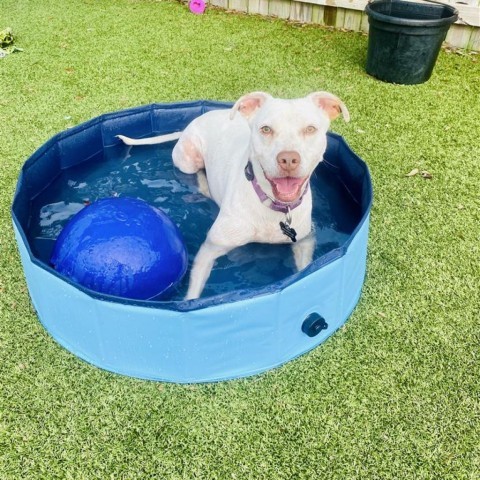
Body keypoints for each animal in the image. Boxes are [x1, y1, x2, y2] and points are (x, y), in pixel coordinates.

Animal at [116, 91, 348, 298]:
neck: (272, 206)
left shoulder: (304, 242)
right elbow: (194, 293)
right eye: (266, 129)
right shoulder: (210, 248)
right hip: (189, 160)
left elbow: (304, 271)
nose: (289, 159)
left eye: (310, 129)